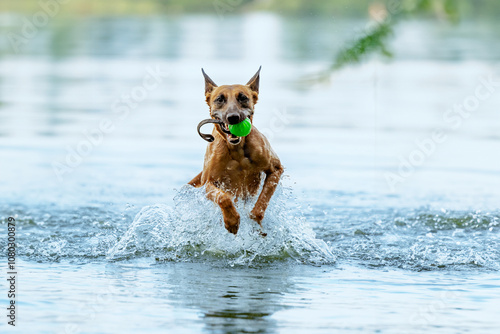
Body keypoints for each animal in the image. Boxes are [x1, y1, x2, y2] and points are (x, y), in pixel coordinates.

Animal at [188, 67, 284, 235]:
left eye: (243, 98)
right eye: (219, 99)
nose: (233, 117)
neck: (237, 150)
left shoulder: (276, 169)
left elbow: (262, 202)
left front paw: (254, 220)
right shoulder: (208, 183)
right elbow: (223, 197)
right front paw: (232, 221)